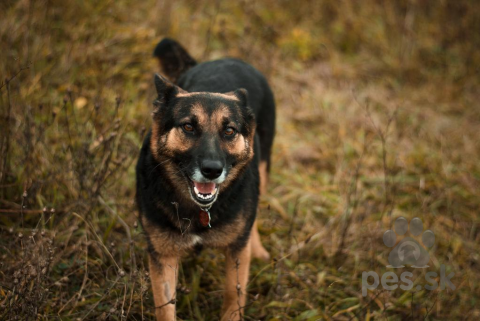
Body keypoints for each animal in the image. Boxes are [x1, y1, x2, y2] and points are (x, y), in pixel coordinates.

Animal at [137, 38, 276, 318]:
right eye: (188, 127)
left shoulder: (236, 252)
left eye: (229, 131)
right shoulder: (163, 256)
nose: (212, 170)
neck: (199, 210)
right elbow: (165, 308)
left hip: (264, 167)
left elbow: (234, 296)